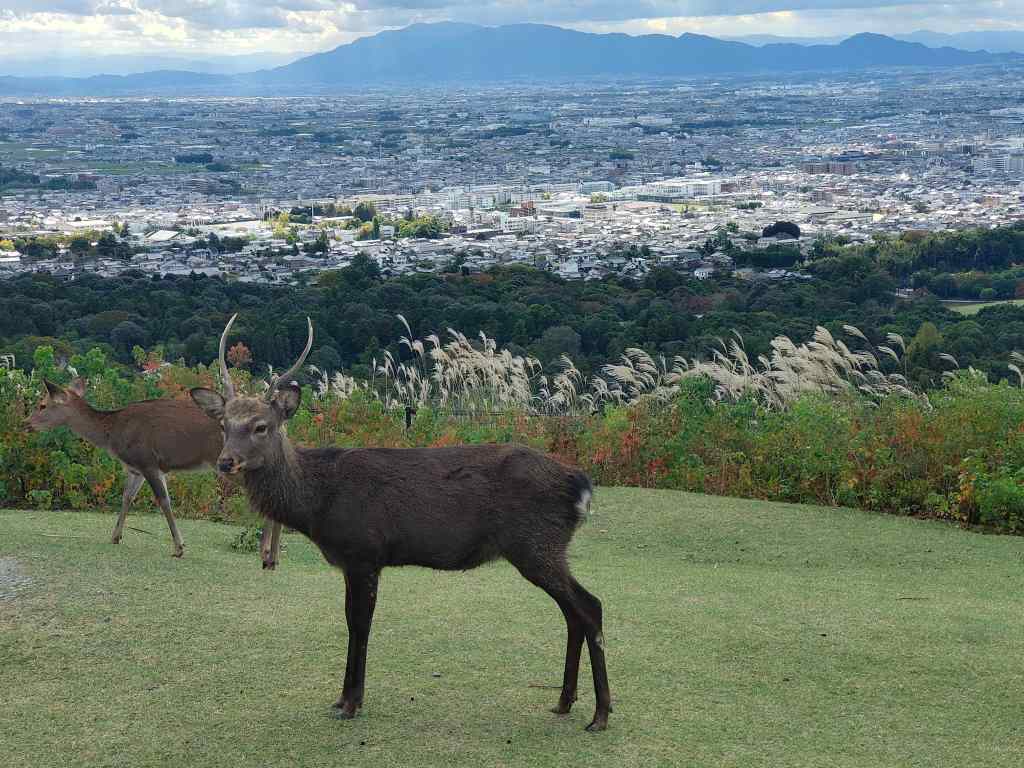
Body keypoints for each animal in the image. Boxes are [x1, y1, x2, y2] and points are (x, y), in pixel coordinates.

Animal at [27, 367, 284, 567]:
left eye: (42, 404)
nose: (26, 423)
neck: (113, 433)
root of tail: (278, 428)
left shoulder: (148, 461)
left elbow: (163, 500)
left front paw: (179, 547)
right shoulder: (135, 468)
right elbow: (127, 497)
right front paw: (115, 536)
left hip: (233, 464)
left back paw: (266, 551)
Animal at [189, 315, 612, 731]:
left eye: (261, 426)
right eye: (224, 425)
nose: (226, 462)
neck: (317, 502)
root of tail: (581, 485)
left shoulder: (364, 552)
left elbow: (359, 624)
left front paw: (351, 703)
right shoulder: (353, 561)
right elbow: (350, 621)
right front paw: (342, 699)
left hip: (536, 544)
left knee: (590, 606)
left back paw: (601, 714)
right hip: (544, 547)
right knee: (573, 613)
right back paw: (564, 702)